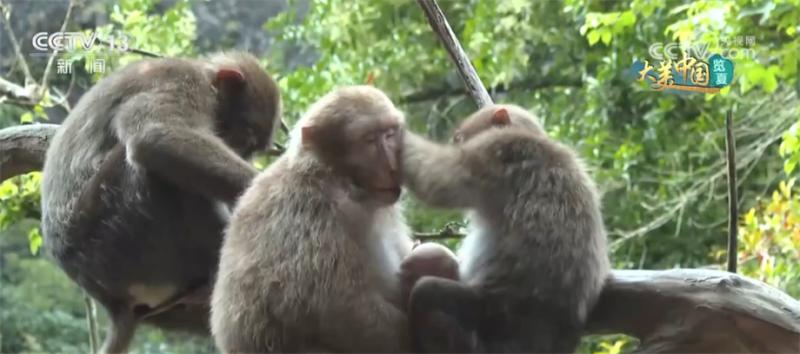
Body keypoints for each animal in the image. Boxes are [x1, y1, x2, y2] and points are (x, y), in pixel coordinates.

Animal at [42, 51, 284, 352]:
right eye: (245, 137)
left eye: (251, 148)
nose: (242, 154)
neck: (205, 77)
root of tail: (109, 301)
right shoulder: (183, 83)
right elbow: (156, 135)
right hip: (116, 235)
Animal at [209, 84, 416, 352]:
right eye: (369, 140)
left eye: (390, 134)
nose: (393, 164)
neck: (333, 175)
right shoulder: (311, 208)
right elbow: (321, 302)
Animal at [404, 103, 608, 352]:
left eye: (459, 139)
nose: (456, 145)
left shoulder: (495, 149)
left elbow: (434, 181)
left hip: (493, 314)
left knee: (428, 293)